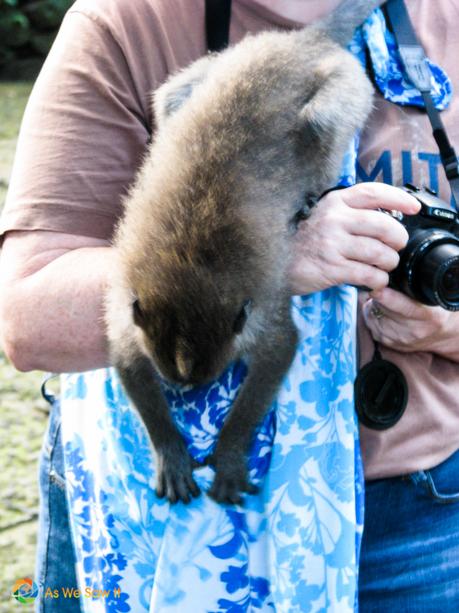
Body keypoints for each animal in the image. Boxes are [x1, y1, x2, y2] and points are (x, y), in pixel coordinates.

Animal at [104, 0, 384, 504]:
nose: (187, 390)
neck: (188, 269)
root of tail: (301, 41)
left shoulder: (261, 306)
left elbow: (278, 353)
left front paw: (230, 452)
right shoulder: (131, 307)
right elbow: (127, 359)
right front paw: (170, 451)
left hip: (346, 80)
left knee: (320, 119)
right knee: (170, 98)